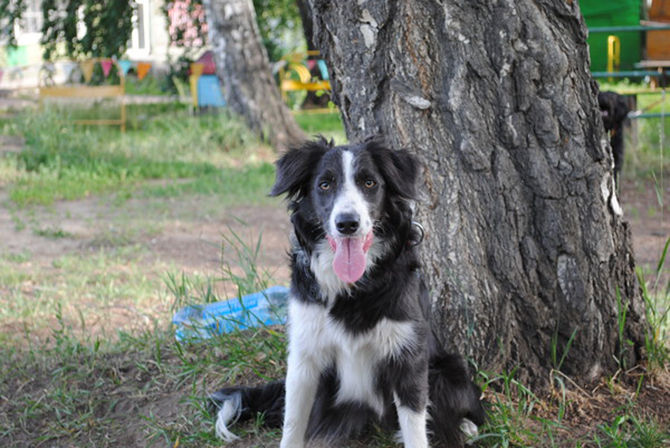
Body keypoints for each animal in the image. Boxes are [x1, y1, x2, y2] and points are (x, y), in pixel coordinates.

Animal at [213, 138, 486, 446]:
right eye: (324, 185)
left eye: (369, 183)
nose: (347, 223)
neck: (353, 288)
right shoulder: (304, 354)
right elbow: (293, 422)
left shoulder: (408, 355)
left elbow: (415, 427)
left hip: (448, 368)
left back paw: (467, 425)